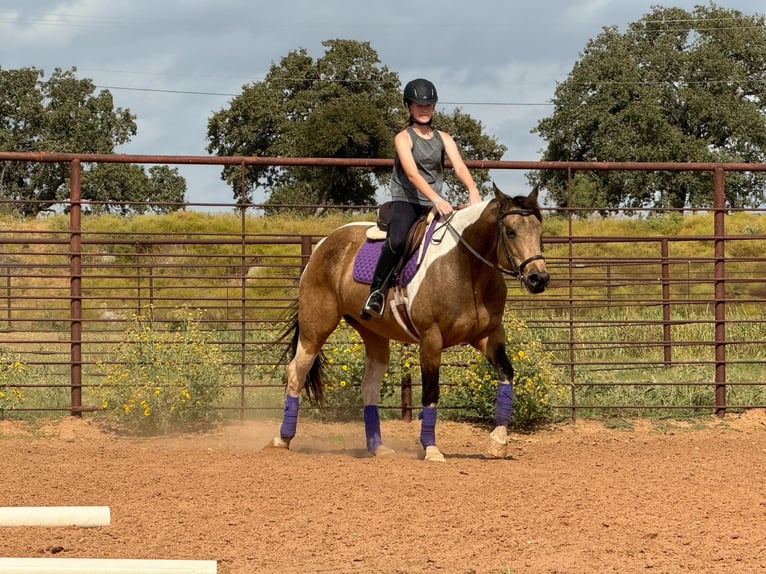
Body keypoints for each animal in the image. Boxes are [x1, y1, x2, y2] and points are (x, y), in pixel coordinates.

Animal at [271, 183, 549, 461]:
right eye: (511, 232)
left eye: (539, 231)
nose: (538, 278)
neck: (466, 268)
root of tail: (323, 244)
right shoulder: (431, 339)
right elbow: (431, 392)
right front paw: (431, 448)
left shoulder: (488, 335)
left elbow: (507, 374)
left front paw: (498, 442)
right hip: (316, 327)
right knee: (296, 372)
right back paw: (282, 439)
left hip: (374, 334)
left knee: (369, 386)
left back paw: (378, 447)